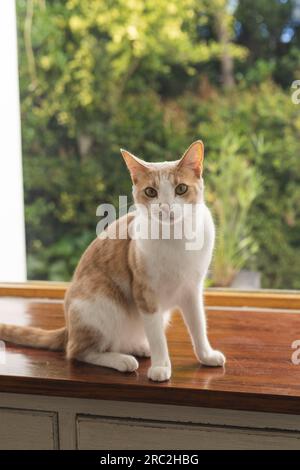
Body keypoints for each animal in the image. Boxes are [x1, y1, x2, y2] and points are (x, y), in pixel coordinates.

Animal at [0, 140, 225, 382]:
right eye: (151, 192)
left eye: (181, 189)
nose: (165, 208)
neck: (176, 237)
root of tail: (68, 328)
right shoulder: (145, 294)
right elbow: (157, 337)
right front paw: (161, 366)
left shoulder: (192, 290)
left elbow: (198, 326)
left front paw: (206, 355)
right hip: (102, 301)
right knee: (78, 351)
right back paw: (122, 360)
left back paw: (139, 347)